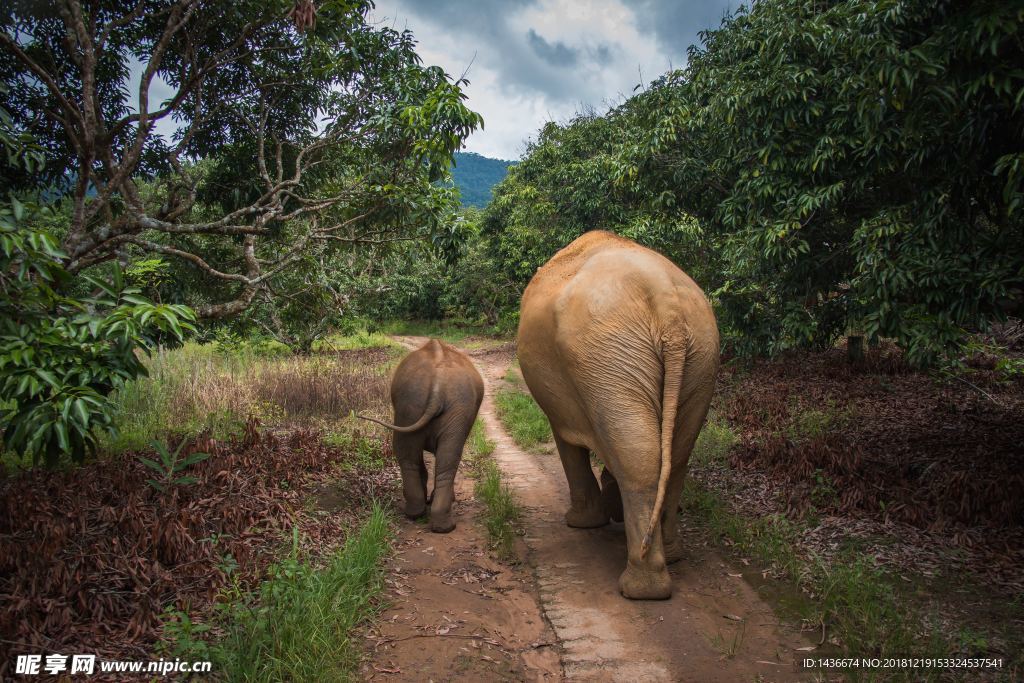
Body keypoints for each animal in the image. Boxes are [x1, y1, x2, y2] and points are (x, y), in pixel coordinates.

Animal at [356, 342, 483, 532]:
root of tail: (437, 386)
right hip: (422, 403)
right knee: (437, 457)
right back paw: (434, 521)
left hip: (415, 402)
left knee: (416, 455)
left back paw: (423, 517)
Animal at [516, 229, 716, 598]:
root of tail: (667, 306)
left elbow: (568, 440)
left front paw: (581, 523)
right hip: (696, 359)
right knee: (674, 457)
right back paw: (671, 556)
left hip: (608, 357)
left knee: (640, 459)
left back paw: (642, 587)